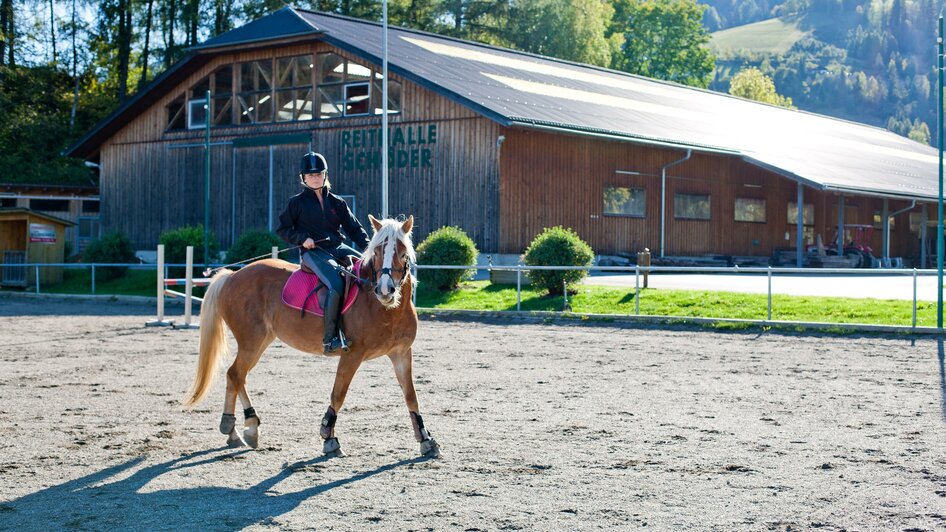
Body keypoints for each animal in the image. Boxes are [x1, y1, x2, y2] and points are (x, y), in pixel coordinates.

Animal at [183, 215, 440, 458]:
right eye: (376, 252)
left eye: (403, 253)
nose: (385, 290)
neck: (385, 309)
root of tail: (232, 276)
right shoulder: (352, 355)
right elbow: (338, 394)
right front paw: (329, 439)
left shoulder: (401, 353)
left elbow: (411, 395)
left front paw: (426, 440)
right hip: (251, 341)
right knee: (236, 374)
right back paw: (245, 427)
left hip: (261, 341)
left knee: (236, 376)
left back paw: (238, 430)